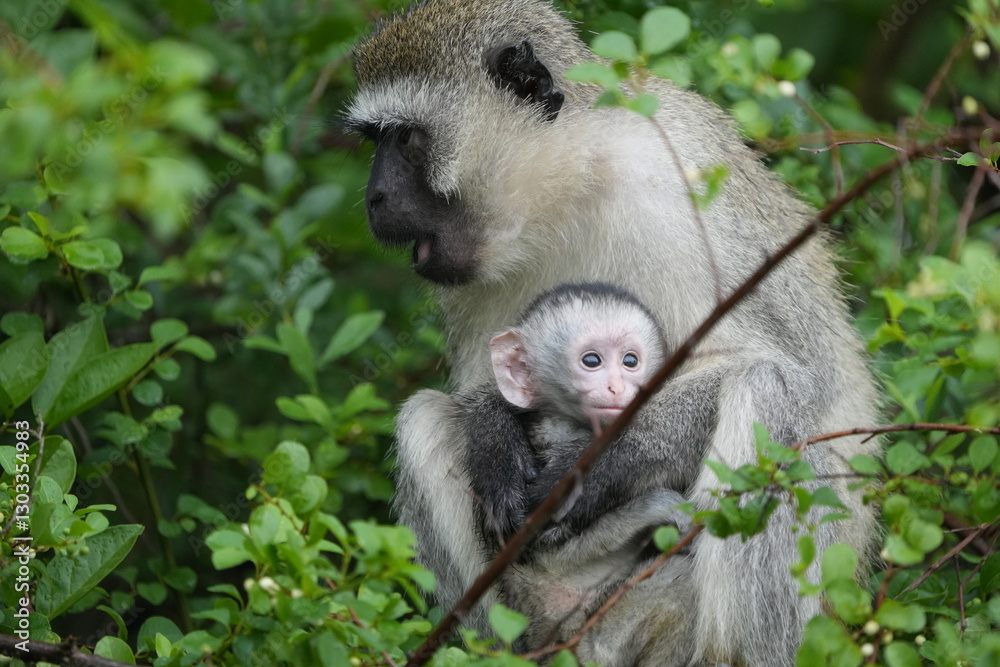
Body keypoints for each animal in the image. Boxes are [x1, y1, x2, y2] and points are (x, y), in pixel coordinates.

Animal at [347, 1, 880, 665]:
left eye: (406, 138)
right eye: (375, 140)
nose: (374, 199)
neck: (569, 179)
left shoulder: (677, 187)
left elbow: (789, 369)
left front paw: (593, 471)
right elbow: (482, 382)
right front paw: (494, 438)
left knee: (767, 390)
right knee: (422, 416)